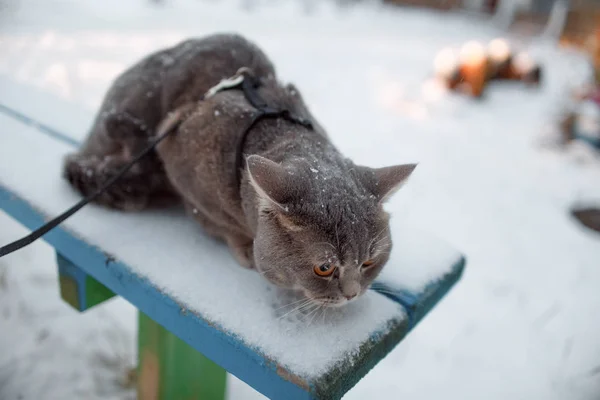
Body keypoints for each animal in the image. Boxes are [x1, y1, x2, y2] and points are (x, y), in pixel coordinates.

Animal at [63, 32, 414, 308]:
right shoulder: (182, 166)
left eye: (369, 262)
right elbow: (220, 222)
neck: (276, 127)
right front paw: (244, 246)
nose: (352, 294)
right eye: (324, 268)